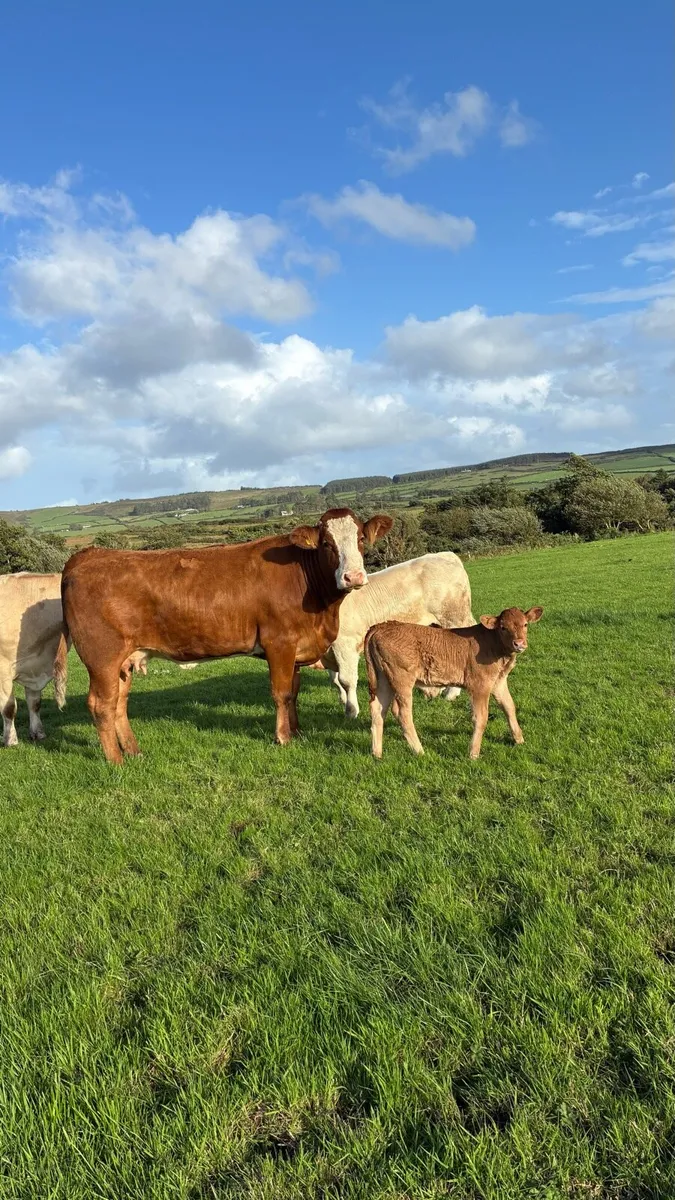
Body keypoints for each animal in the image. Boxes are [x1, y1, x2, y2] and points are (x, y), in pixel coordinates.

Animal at [58, 509, 393, 764]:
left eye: (361, 539)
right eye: (326, 543)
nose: (353, 577)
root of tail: (89, 555)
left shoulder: (296, 649)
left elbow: (294, 692)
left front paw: (297, 731)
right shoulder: (279, 643)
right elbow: (281, 693)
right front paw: (283, 737)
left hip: (125, 660)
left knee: (119, 703)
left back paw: (133, 751)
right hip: (101, 657)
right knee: (101, 705)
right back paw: (116, 760)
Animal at [309, 551, 474, 718]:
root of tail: (445, 555)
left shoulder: (345, 645)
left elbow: (346, 680)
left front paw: (351, 711)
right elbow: (335, 679)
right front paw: (343, 701)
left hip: (454, 618)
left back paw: (451, 693)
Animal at [365, 606, 544, 760]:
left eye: (525, 624)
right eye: (503, 627)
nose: (519, 643)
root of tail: (380, 626)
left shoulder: (498, 682)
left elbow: (509, 707)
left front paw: (519, 739)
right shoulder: (479, 685)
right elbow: (481, 717)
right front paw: (473, 753)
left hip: (383, 679)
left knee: (378, 709)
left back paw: (377, 753)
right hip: (401, 679)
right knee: (402, 712)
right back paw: (419, 751)